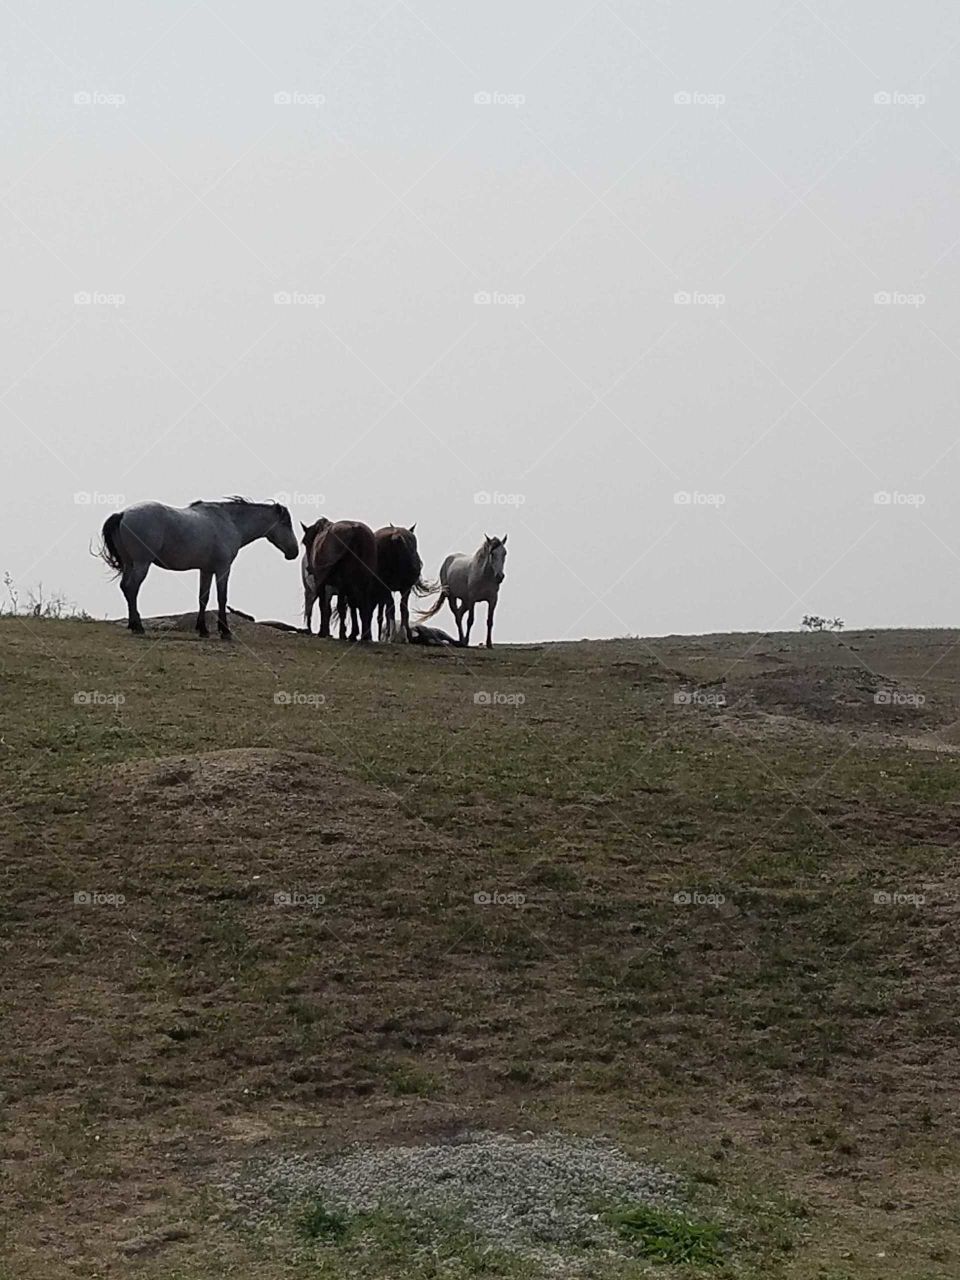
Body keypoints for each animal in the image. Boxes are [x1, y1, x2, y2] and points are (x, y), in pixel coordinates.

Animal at [100, 498, 299, 638]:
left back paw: (132, 624)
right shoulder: (222, 569)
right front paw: (225, 632)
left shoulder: (206, 570)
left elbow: (203, 598)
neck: (230, 522)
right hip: (142, 564)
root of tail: (122, 514)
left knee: (125, 587)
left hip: (130, 564)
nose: (294, 552)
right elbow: (221, 598)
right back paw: (138, 626)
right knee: (132, 588)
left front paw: (203, 630)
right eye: (286, 523)